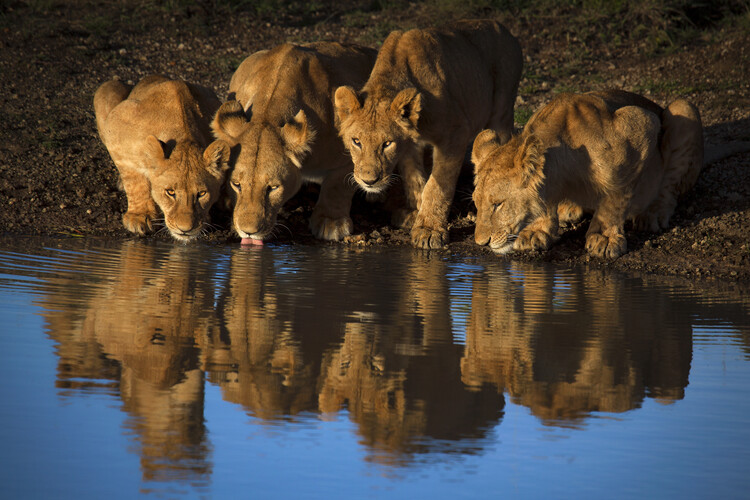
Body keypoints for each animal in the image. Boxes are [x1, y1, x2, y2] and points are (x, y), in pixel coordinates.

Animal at [94, 75, 230, 241]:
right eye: (170, 192)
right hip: (106, 89)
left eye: (202, 194)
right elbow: (135, 180)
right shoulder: (115, 127)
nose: (185, 229)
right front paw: (140, 216)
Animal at [210, 42, 377, 244]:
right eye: (236, 184)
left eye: (273, 188)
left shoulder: (351, 151)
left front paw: (331, 222)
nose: (248, 232)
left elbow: (337, 185)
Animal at [334, 19, 523, 249]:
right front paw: (416, 213)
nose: (369, 181)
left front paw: (429, 230)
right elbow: (414, 179)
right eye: (356, 141)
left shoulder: (455, 133)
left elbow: (437, 185)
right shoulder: (409, 145)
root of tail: (503, 27)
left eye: (387, 143)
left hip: (502, 109)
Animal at [471, 89, 704, 259]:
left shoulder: (640, 125)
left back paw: (652, 214)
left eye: (498, 204)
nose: (481, 243)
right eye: (476, 203)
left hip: (683, 110)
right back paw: (569, 209)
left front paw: (604, 238)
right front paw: (537, 230)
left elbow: (615, 198)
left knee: (670, 186)